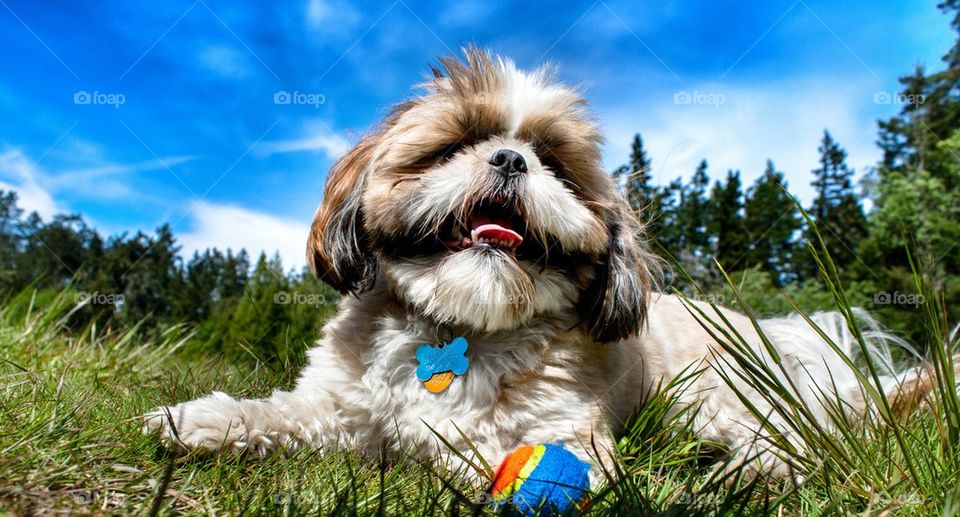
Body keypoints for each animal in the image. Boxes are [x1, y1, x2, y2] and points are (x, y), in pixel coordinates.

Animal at [144, 47, 928, 484]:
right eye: (455, 144)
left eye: (554, 162)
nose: (511, 158)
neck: (460, 327)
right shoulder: (339, 408)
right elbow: (280, 413)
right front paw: (202, 420)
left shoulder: (564, 432)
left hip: (712, 398)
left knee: (781, 440)